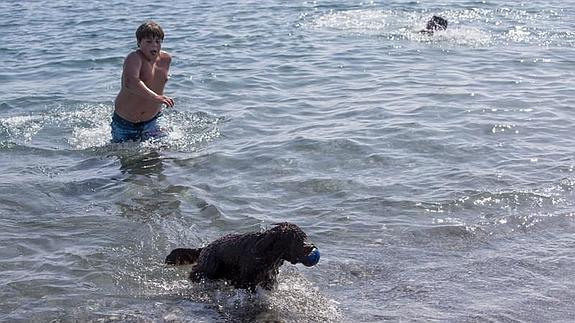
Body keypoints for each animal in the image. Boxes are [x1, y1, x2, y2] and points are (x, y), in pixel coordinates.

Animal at [165, 223, 320, 292]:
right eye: (296, 239)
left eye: (304, 237)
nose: (311, 246)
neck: (267, 252)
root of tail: (205, 247)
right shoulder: (246, 278)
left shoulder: (269, 277)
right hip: (209, 266)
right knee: (196, 272)